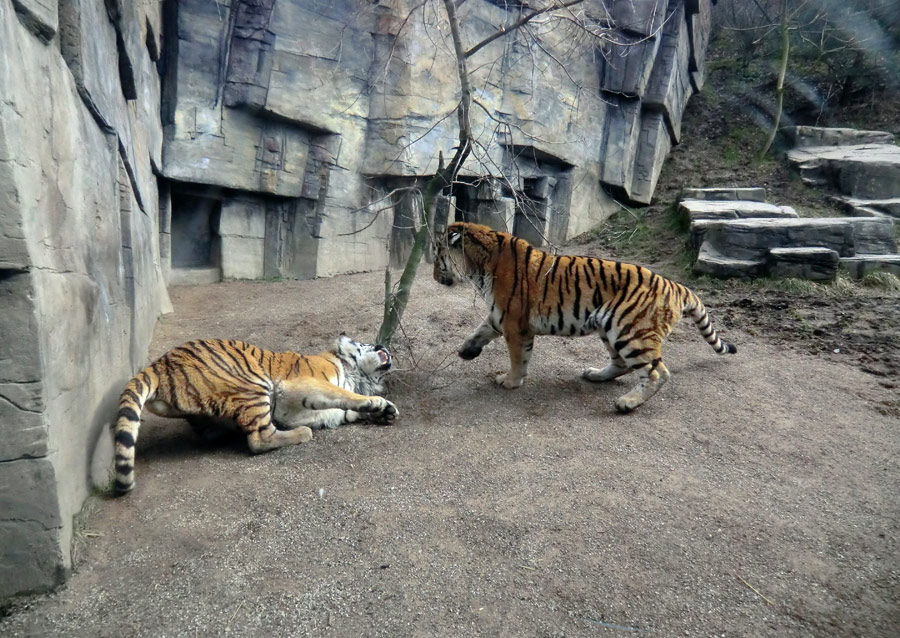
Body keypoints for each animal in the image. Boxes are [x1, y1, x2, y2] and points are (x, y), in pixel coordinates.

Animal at [110, 336, 398, 496]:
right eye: (367, 342)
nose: (384, 344)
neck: (356, 374)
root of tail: (159, 363)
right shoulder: (303, 386)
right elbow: (344, 396)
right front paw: (378, 403)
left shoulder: (295, 411)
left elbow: (340, 412)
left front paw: (384, 412)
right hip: (254, 383)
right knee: (259, 439)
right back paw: (302, 435)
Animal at [432, 224, 736, 416]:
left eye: (437, 257)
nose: (434, 276)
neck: (478, 265)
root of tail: (675, 285)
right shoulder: (500, 316)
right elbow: (479, 330)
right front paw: (466, 351)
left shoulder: (514, 323)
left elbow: (518, 358)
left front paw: (510, 381)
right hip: (609, 327)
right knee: (621, 365)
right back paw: (595, 375)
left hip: (630, 331)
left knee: (656, 372)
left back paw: (627, 403)